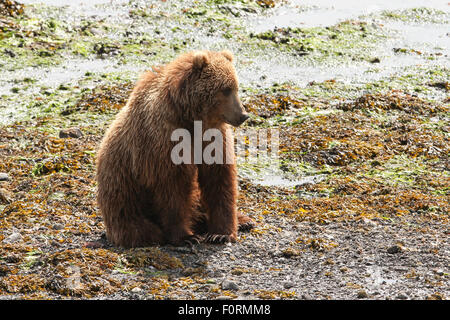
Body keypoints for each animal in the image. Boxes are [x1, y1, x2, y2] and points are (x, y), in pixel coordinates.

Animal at [96, 49, 255, 248]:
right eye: (226, 89)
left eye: (236, 87)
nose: (243, 115)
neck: (192, 119)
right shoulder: (164, 141)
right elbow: (173, 189)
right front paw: (186, 236)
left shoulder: (213, 138)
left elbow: (219, 179)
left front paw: (221, 234)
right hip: (122, 194)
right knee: (136, 225)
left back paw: (244, 220)